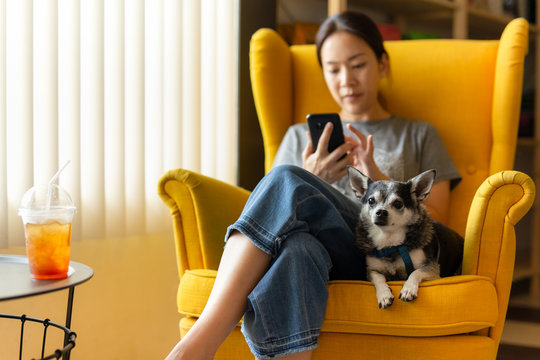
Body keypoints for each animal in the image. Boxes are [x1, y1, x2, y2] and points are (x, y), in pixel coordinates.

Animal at [350, 167, 464, 308]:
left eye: (398, 204)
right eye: (371, 201)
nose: (381, 212)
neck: (391, 244)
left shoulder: (432, 269)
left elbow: (416, 272)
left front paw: (408, 289)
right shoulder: (372, 271)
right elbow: (378, 278)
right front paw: (384, 294)